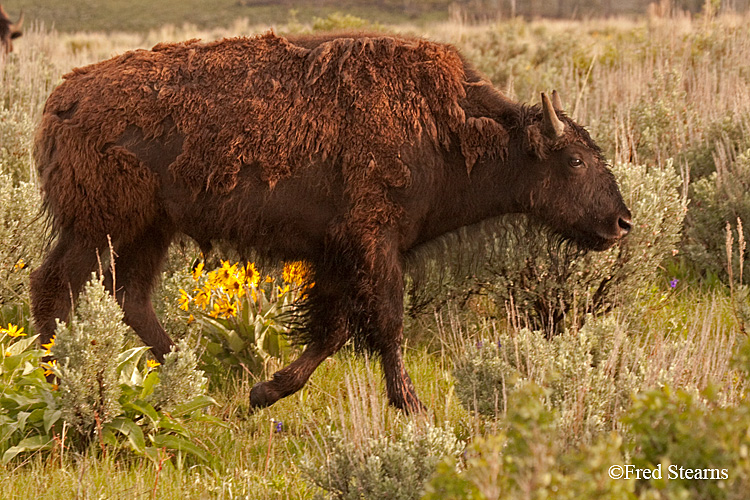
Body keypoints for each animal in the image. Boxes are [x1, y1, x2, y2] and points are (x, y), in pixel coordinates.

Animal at [30, 32, 636, 414]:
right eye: (574, 160)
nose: (622, 221)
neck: (447, 131)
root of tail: (60, 97)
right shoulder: (373, 243)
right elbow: (384, 324)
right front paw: (412, 405)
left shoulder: (340, 255)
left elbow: (335, 328)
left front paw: (262, 393)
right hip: (98, 227)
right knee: (53, 285)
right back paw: (55, 377)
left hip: (148, 230)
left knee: (130, 296)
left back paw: (186, 373)